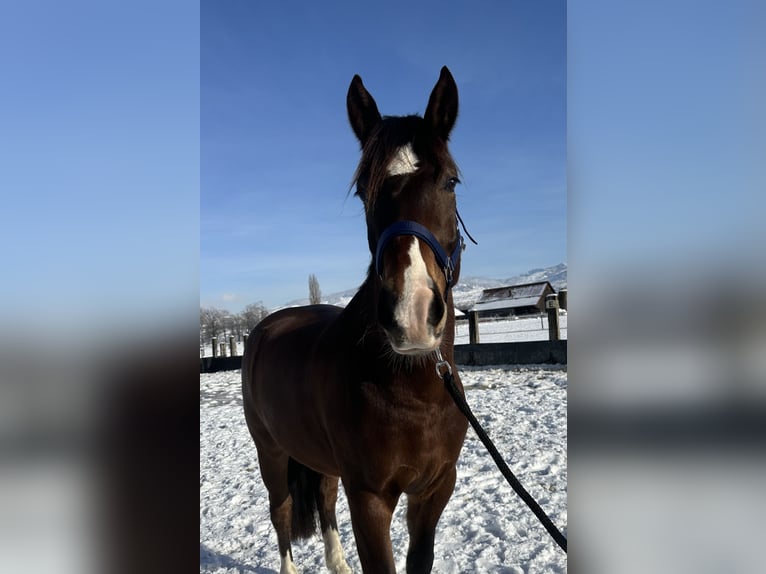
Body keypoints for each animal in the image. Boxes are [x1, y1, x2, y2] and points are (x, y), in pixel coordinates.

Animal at [246, 68, 472, 574]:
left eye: (451, 182)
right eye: (363, 189)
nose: (411, 313)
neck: (415, 391)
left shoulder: (435, 490)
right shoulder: (369, 498)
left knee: (324, 499)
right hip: (271, 452)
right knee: (281, 511)